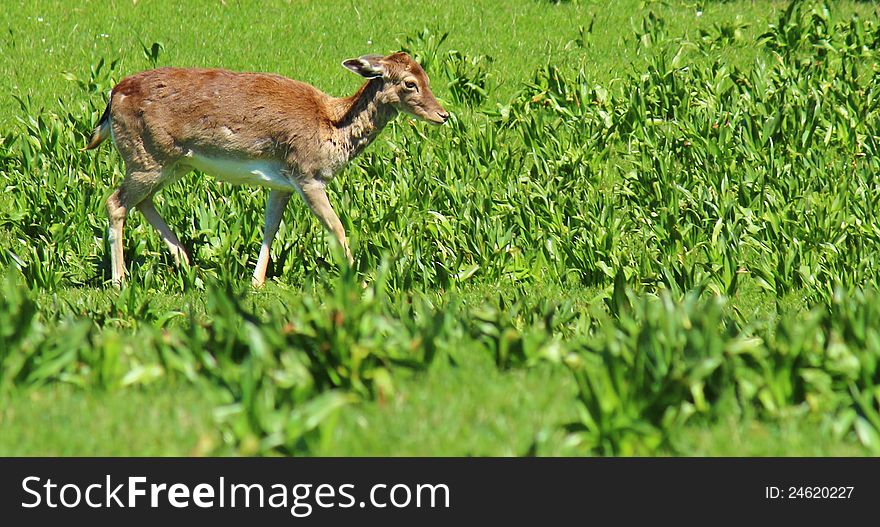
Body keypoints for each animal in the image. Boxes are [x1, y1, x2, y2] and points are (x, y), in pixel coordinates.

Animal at [84, 51, 446, 286]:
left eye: (427, 77)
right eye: (410, 83)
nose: (443, 114)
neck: (331, 126)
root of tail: (112, 97)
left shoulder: (282, 183)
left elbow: (270, 226)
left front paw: (257, 281)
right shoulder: (306, 174)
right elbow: (336, 227)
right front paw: (357, 278)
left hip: (171, 163)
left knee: (140, 201)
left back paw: (187, 262)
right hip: (146, 157)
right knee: (115, 201)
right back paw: (120, 280)